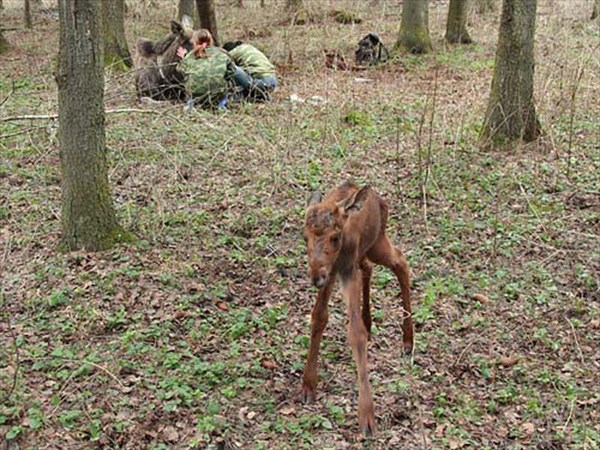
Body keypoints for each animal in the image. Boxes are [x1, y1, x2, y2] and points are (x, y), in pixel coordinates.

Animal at [300, 180, 412, 436]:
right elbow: (319, 316)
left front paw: (367, 416)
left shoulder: (346, 269)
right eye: (304, 237)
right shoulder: (332, 272)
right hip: (365, 253)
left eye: (335, 237)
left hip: (378, 242)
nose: (315, 276)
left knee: (401, 262)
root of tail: (380, 200)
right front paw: (308, 384)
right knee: (369, 267)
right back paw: (372, 322)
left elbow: (355, 332)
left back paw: (408, 340)